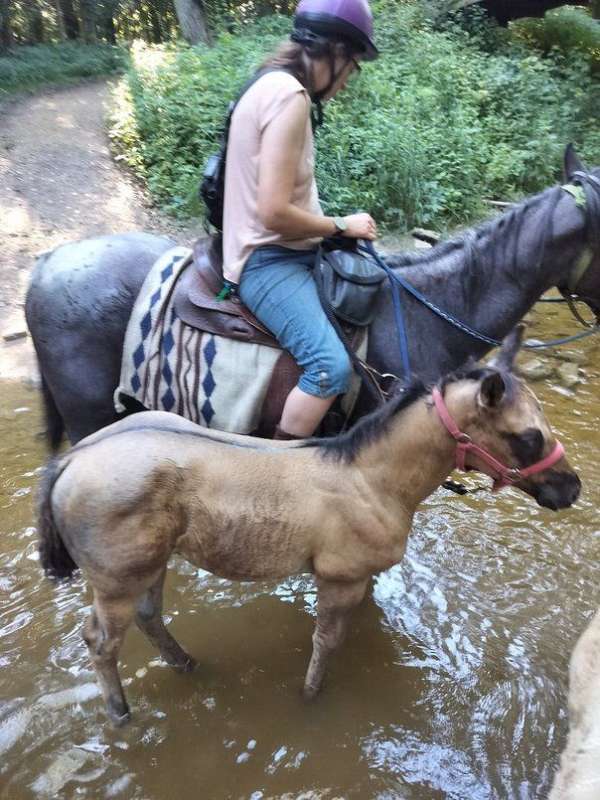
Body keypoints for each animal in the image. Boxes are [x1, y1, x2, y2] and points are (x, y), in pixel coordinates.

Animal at [37, 329, 581, 726]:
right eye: (528, 438)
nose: (572, 489)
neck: (372, 479)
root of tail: (71, 460)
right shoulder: (342, 577)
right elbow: (326, 642)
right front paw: (310, 700)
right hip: (115, 580)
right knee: (101, 642)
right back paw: (121, 715)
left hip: (150, 562)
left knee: (150, 617)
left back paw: (187, 666)